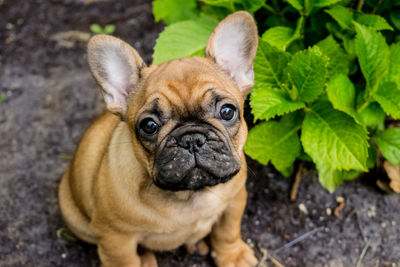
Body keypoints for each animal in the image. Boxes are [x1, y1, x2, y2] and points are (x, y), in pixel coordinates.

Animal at [58, 11, 260, 267]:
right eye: (149, 126)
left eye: (227, 112)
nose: (191, 139)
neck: (190, 195)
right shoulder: (115, 239)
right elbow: (126, 262)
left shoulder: (234, 201)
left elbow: (228, 231)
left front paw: (232, 256)